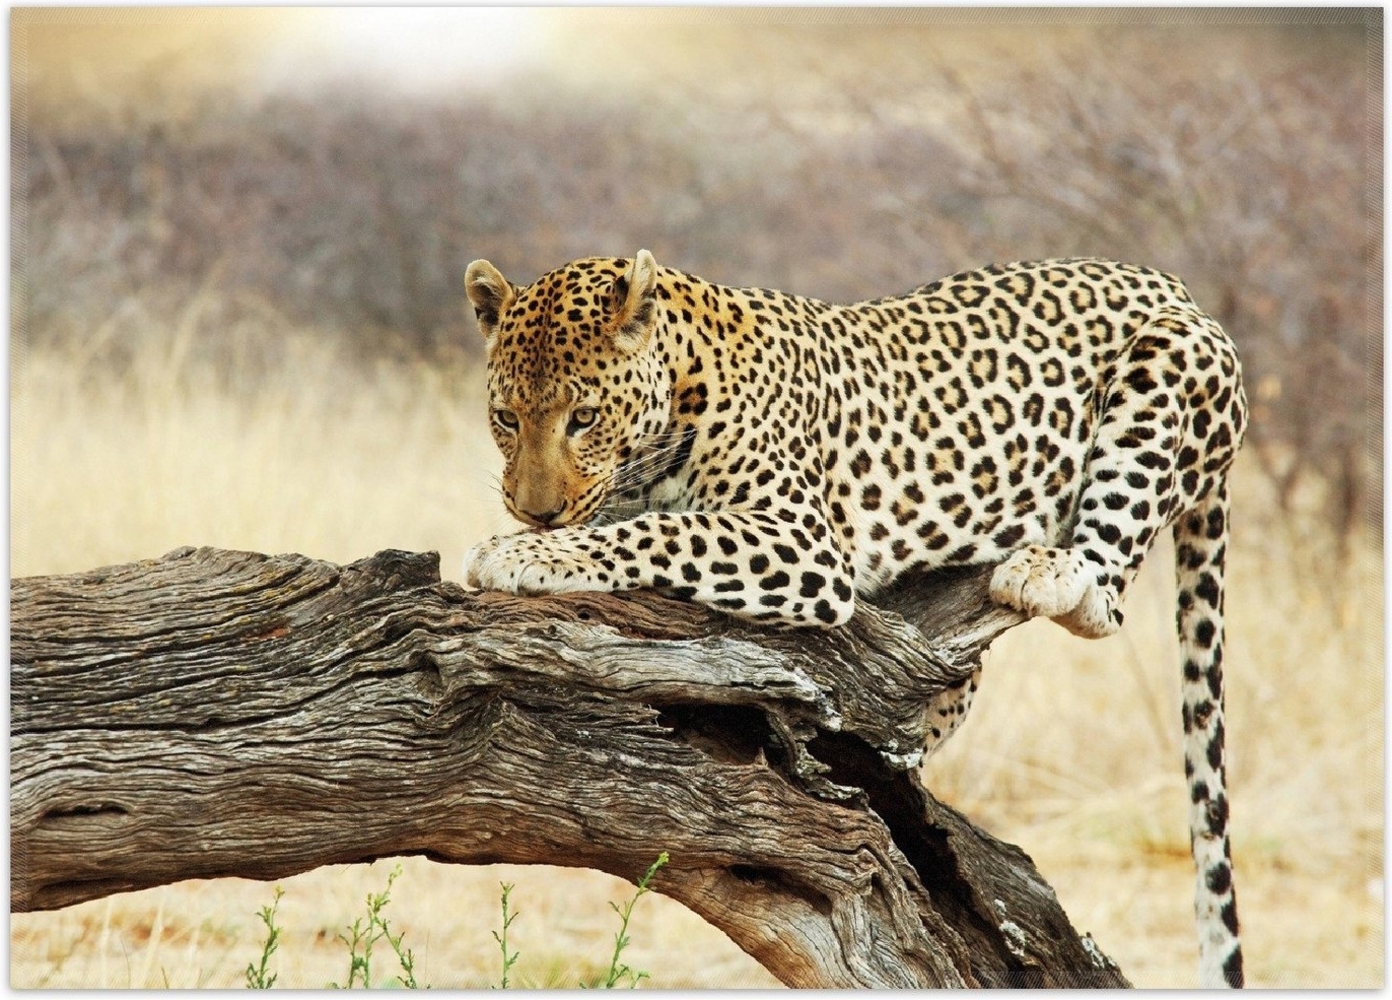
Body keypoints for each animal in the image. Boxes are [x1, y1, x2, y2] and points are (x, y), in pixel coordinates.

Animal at [462, 249, 1247, 986]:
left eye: (583, 418)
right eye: (506, 420)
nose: (534, 511)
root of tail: (1172, 284)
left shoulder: (800, 538)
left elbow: (658, 532)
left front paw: (520, 553)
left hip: (1166, 365)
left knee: (1104, 595)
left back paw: (1047, 570)